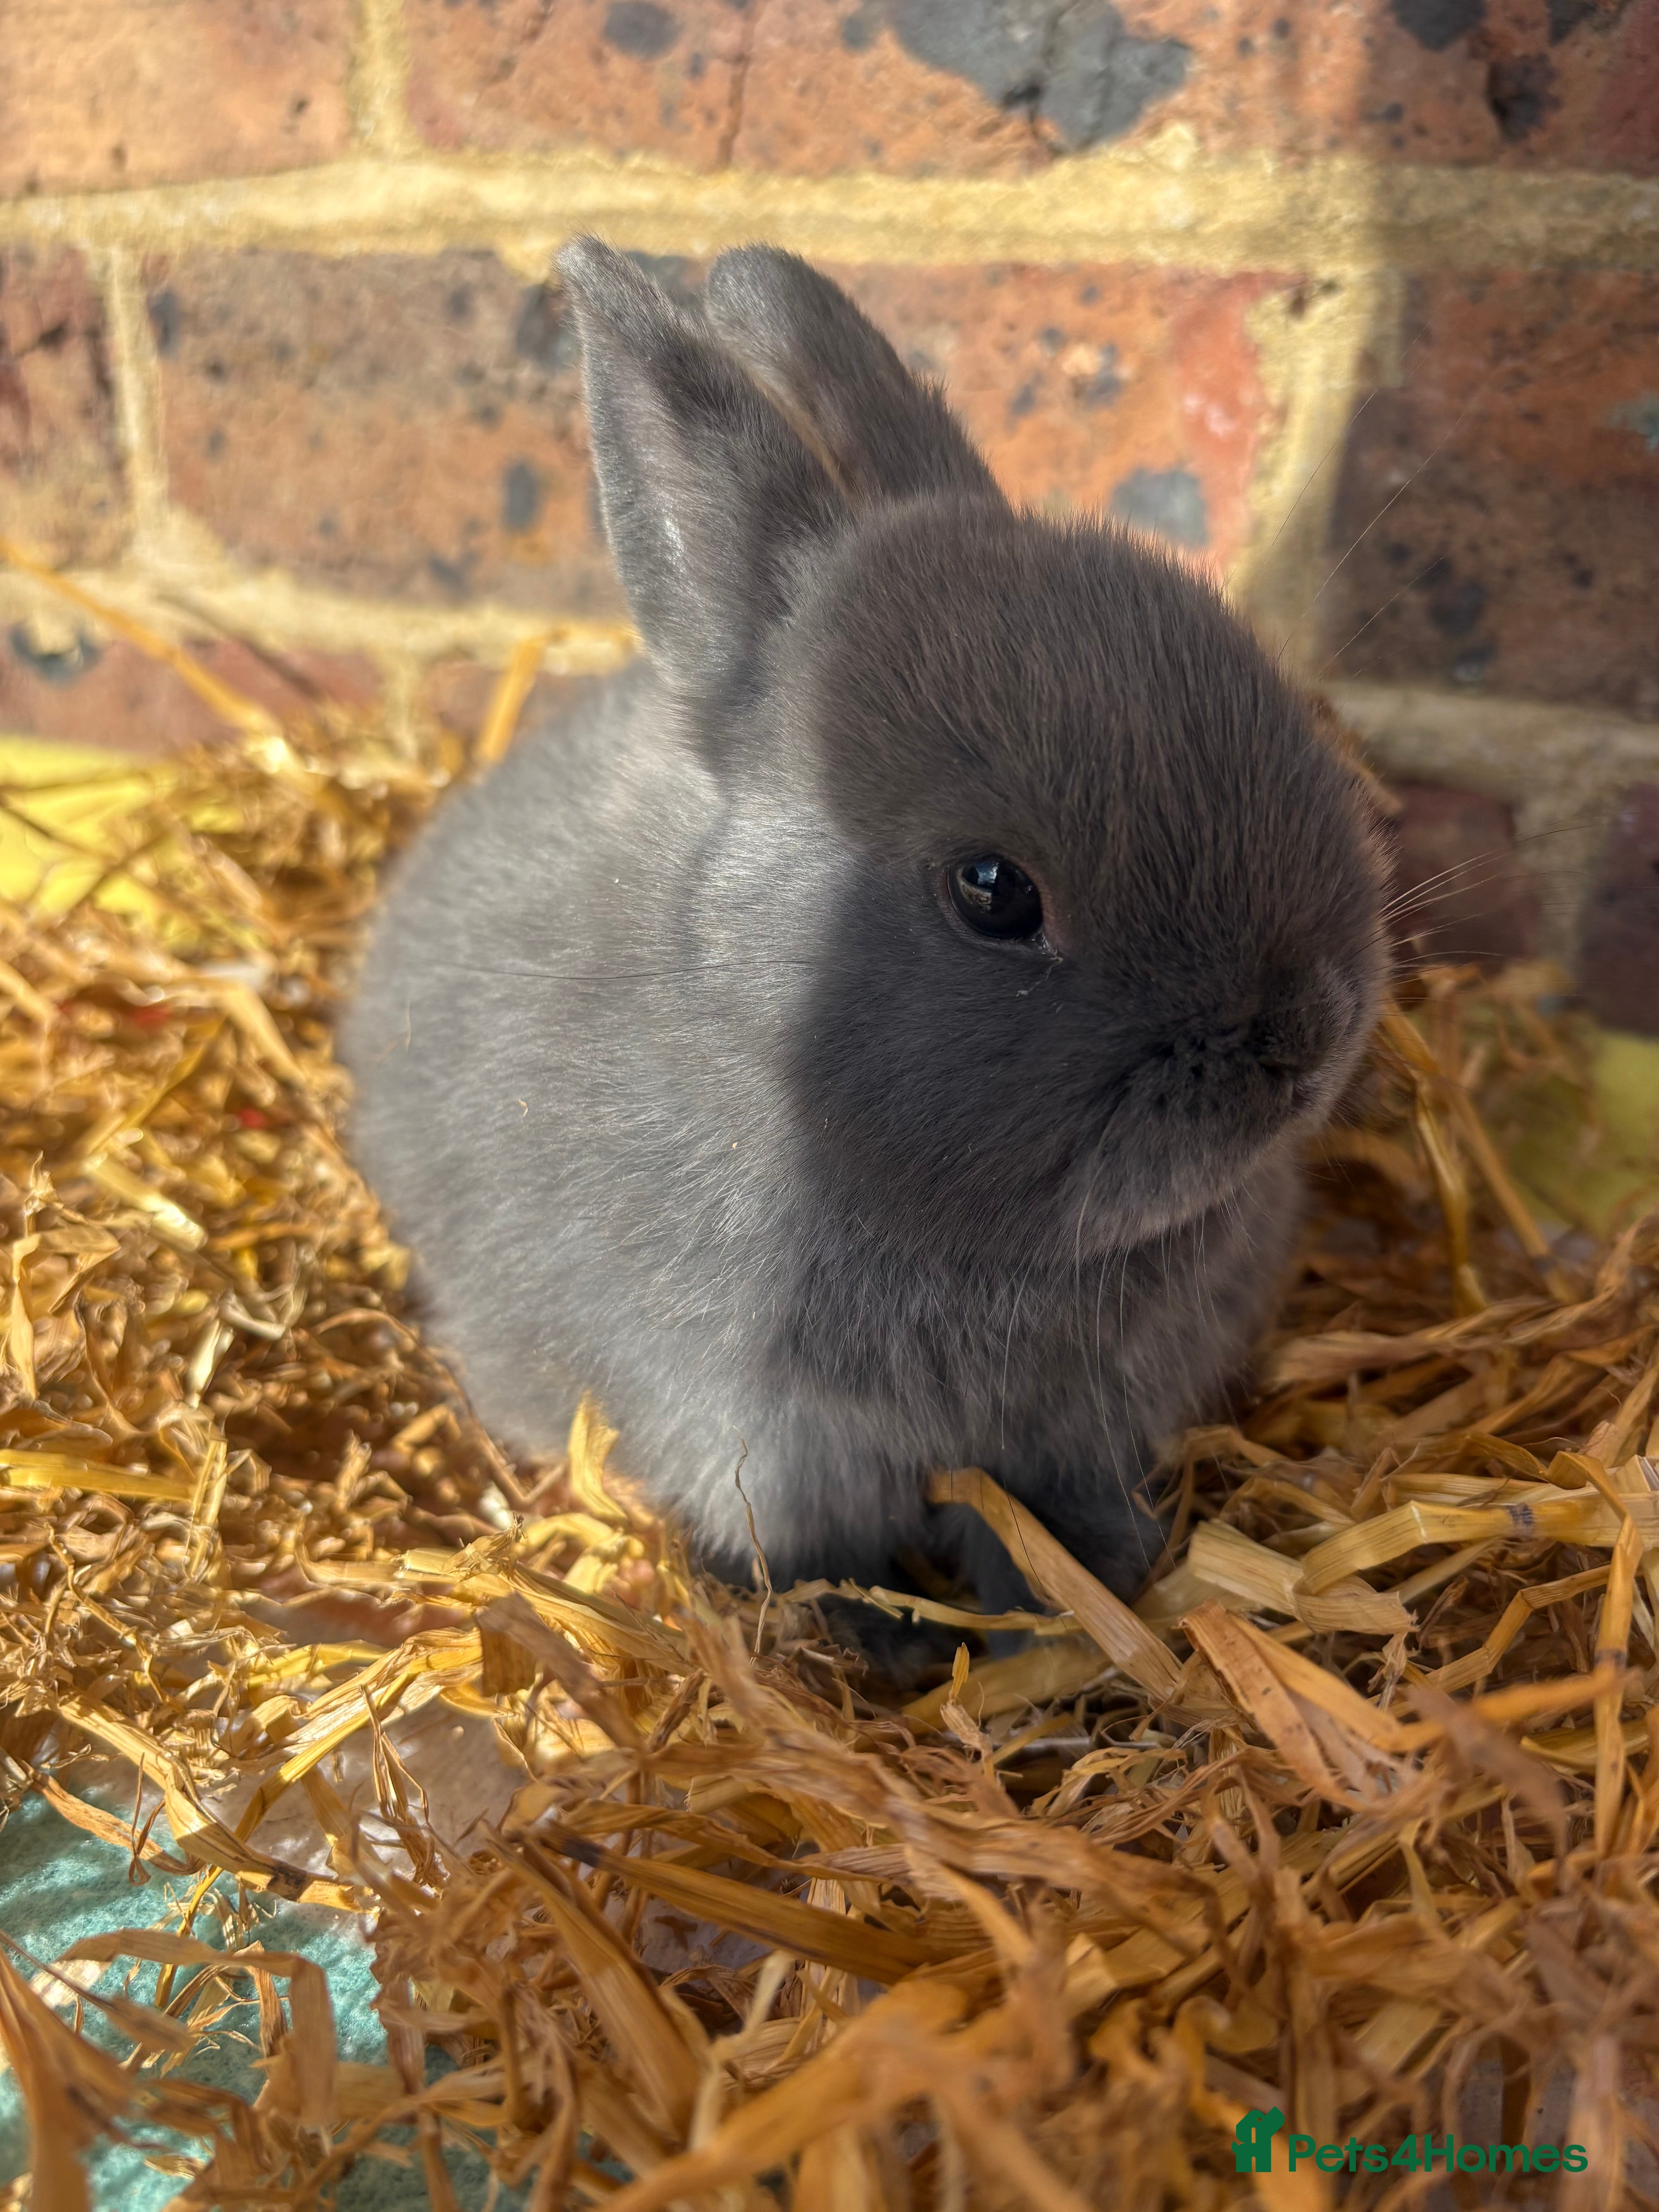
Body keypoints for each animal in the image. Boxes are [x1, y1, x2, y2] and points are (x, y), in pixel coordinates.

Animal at [341, 238, 1386, 1658]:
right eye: (993, 892)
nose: (1306, 1039)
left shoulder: (1079, 1428)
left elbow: (1057, 1526)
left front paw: (1066, 1613)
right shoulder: (763, 1439)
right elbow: (814, 1554)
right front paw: (890, 1645)